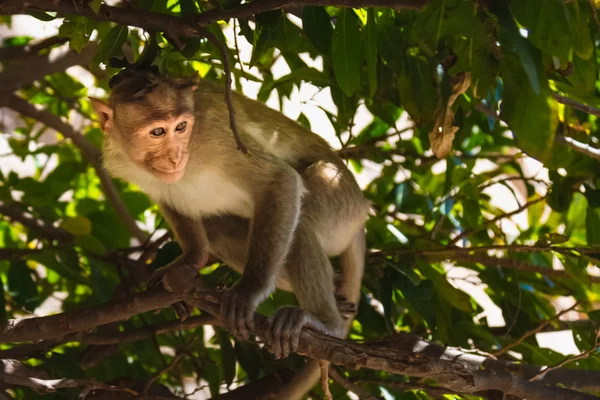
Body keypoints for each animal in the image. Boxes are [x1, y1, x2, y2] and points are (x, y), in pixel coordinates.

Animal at [91, 69, 368, 396]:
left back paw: (326, 322)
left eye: (181, 127)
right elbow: (169, 197)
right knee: (220, 229)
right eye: (158, 132)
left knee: (303, 221)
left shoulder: (218, 137)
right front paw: (190, 260)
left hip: (339, 205)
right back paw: (337, 297)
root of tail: (362, 208)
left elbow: (279, 180)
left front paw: (249, 290)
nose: (176, 157)